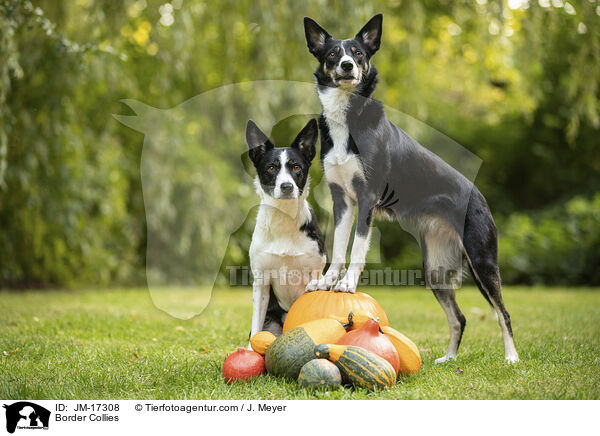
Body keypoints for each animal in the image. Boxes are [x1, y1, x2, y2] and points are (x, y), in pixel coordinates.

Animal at [246, 118, 326, 340]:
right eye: (271, 168)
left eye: (296, 167)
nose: (287, 187)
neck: (284, 219)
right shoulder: (261, 283)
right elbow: (256, 327)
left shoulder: (316, 273)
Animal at [302, 13, 516, 362]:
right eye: (332, 54)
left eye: (358, 54)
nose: (347, 65)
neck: (348, 117)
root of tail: (480, 196)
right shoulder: (342, 200)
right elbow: (338, 247)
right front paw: (326, 281)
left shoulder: (367, 198)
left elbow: (357, 247)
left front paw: (347, 284)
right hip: (436, 269)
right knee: (459, 317)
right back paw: (449, 359)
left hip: (482, 261)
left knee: (502, 312)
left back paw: (511, 358)